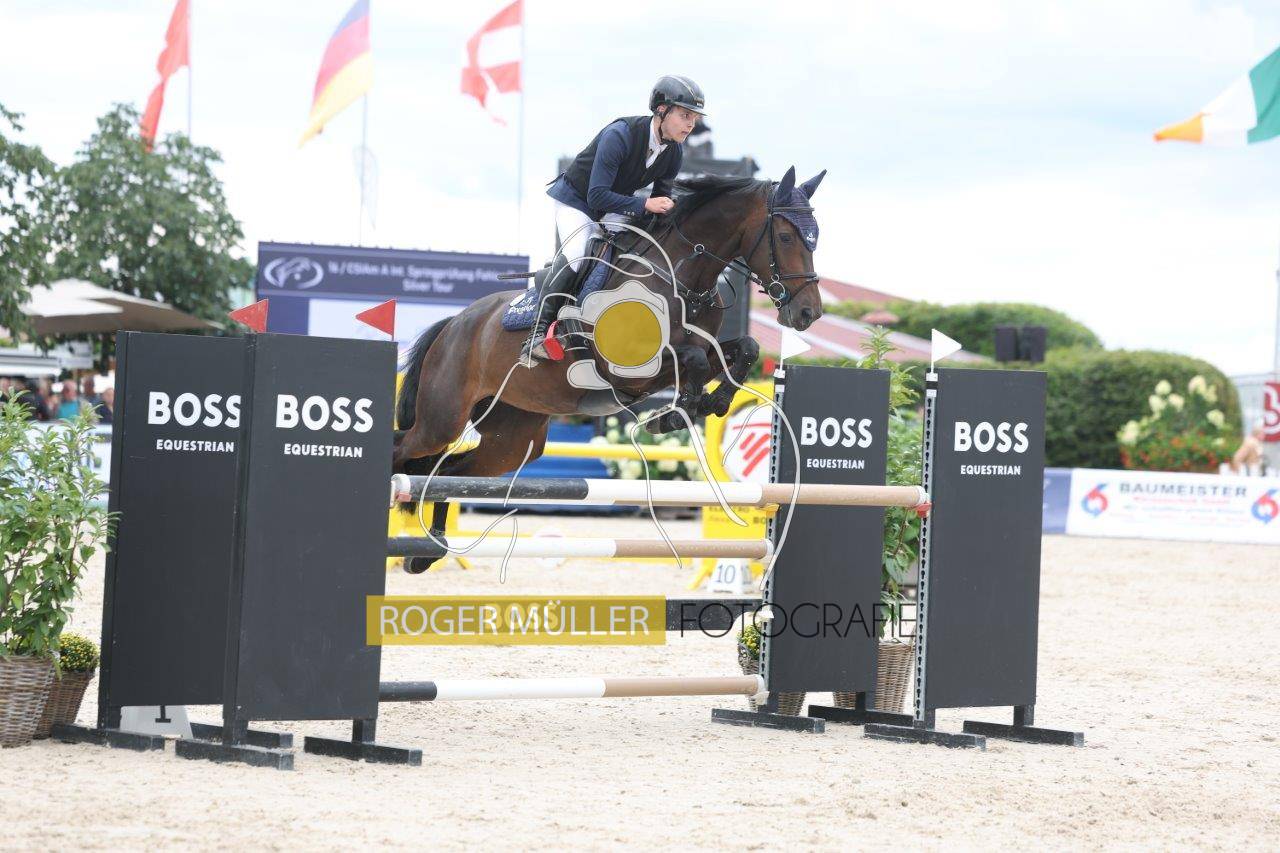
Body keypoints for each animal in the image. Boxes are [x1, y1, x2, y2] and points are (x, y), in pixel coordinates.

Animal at [392, 166, 827, 563]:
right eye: (785, 237)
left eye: (815, 237)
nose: (809, 313)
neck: (682, 279)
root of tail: (455, 323)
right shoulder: (624, 368)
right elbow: (691, 361)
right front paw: (675, 413)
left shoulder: (702, 348)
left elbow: (743, 349)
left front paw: (709, 404)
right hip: (442, 419)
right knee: (407, 449)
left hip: (512, 439)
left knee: (455, 472)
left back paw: (428, 551)